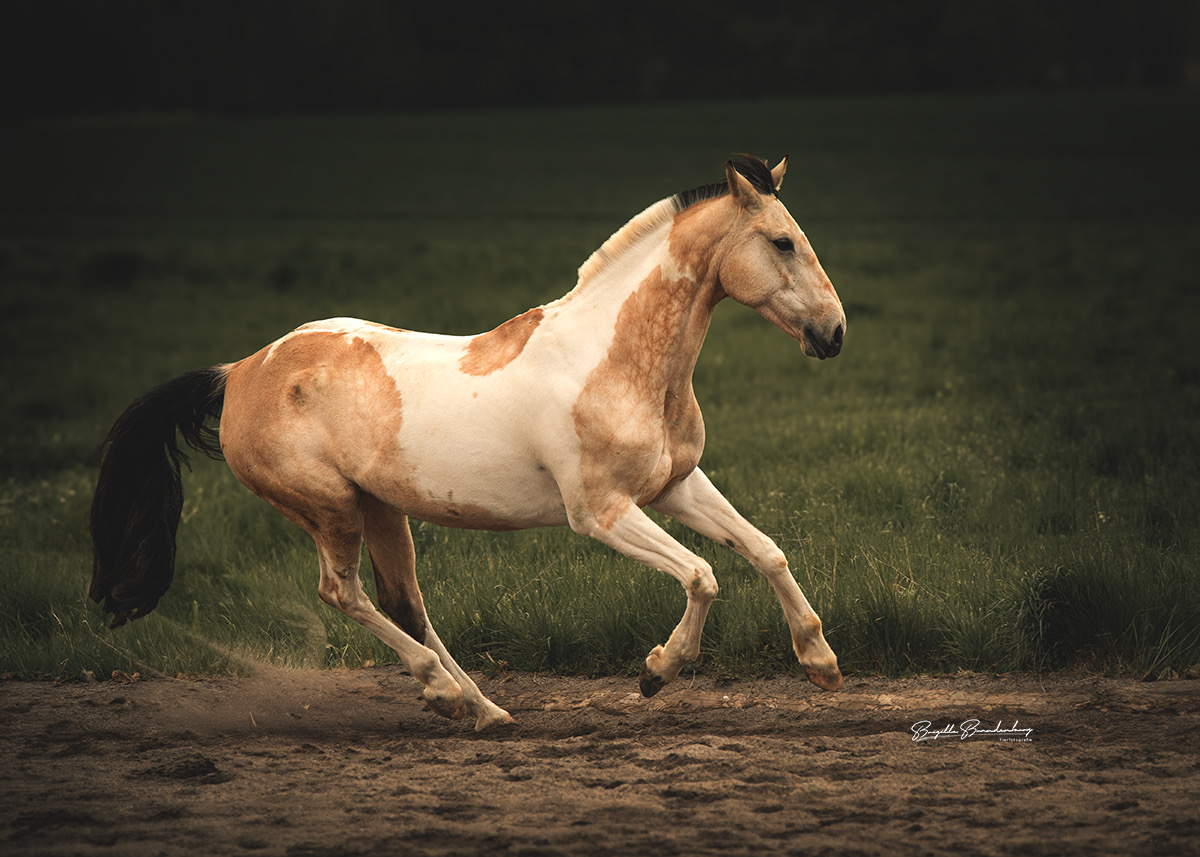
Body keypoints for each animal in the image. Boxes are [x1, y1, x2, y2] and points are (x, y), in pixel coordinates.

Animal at [88, 153, 844, 729]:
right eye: (781, 241)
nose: (833, 334)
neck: (615, 360)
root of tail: (239, 372)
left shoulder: (675, 486)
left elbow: (764, 551)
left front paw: (821, 663)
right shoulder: (599, 512)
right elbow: (702, 575)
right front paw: (658, 671)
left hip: (381, 510)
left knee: (404, 603)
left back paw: (483, 709)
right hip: (328, 509)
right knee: (342, 594)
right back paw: (445, 692)